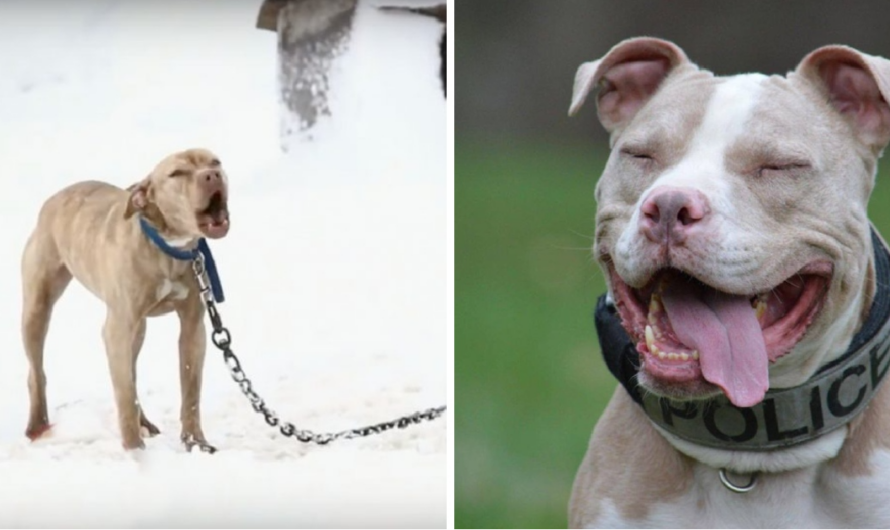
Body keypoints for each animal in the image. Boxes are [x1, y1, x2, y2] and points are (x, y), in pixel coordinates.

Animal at [21, 147, 231, 450]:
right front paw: (134, 450)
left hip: (137, 330)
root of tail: (54, 198)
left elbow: (190, 391)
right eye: (177, 173)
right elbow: (124, 393)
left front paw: (195, 442)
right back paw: (37, 426)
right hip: (37, 309)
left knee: (131, 373)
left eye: (215, 162)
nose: (212, 175)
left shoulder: (193, 328)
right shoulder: (117, 328)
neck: (167, 246)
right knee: (37, 372)